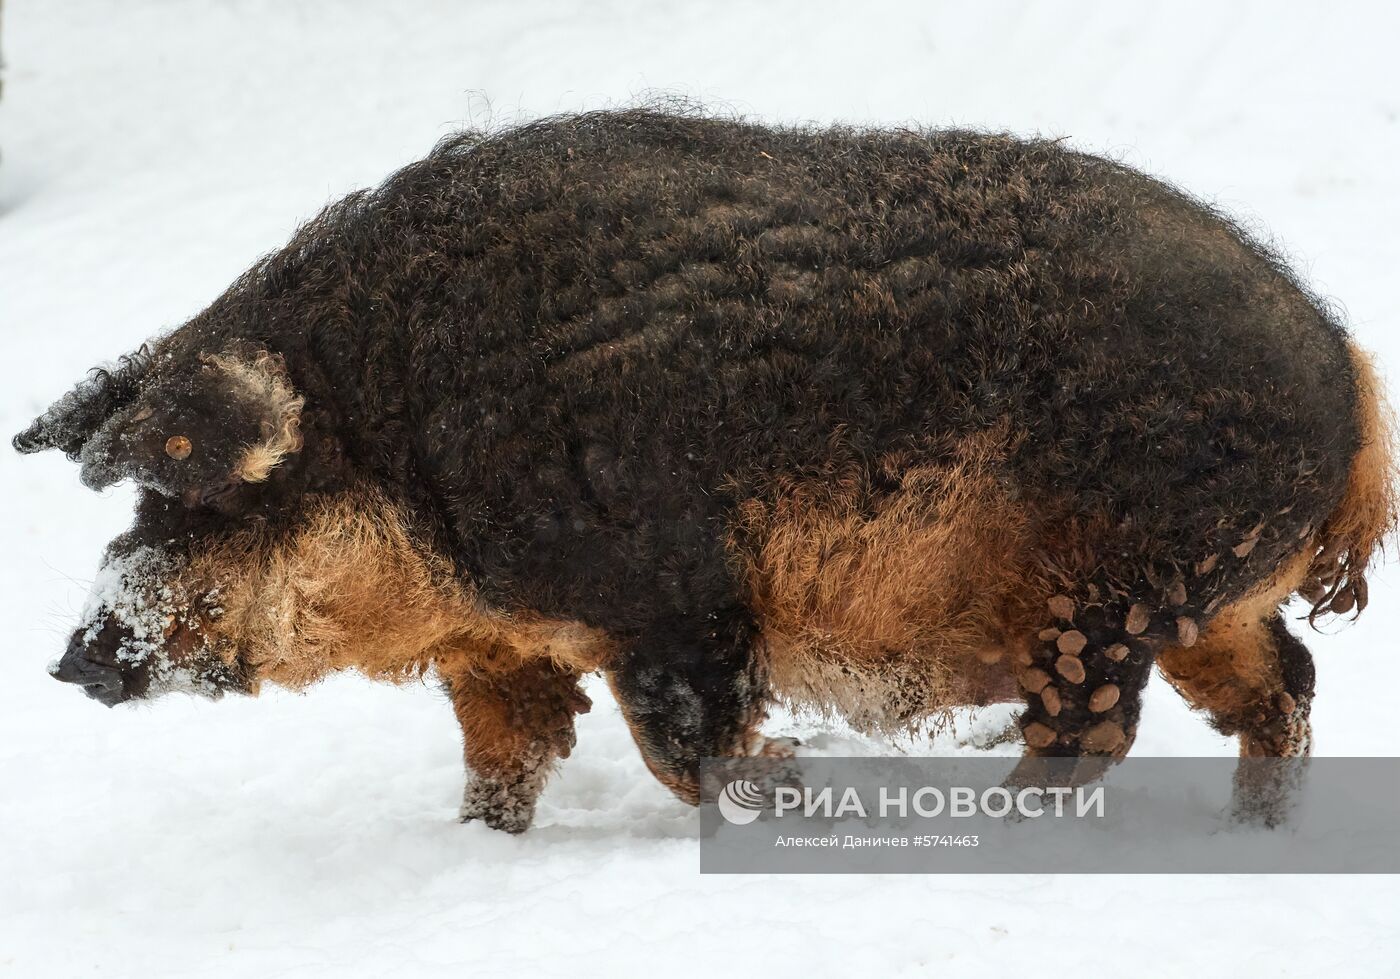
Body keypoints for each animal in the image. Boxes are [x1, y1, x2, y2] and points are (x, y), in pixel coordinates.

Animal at [16, 112, 1394, 834]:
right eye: (141, 501)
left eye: (210, 495)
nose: (74, 658)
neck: (400, 445)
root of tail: (1339, 358)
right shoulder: (499, 650)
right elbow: (506, 756)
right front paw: (481, 845)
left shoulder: (672, 595)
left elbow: (685, 744)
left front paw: (792, 782)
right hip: (1202, 598)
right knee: (1280, 681)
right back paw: (1251, 827)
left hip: (1109, 586)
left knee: (1092, 732)